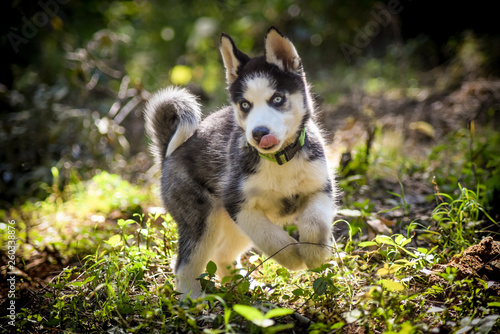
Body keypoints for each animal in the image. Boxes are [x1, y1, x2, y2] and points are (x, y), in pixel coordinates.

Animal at [146, 26, 338, 298]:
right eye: (245, 105)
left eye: (277, 99)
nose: (259, 133)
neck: (280, 161)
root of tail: (167, 154)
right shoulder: (237, 203)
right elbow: (270, 238)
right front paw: (292, 256)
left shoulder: (320, 189)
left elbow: (315, 223)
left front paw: (315, 254)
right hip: (203, 220)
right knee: (185, 264)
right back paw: (192, 299)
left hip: (232, 227)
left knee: (221, 254)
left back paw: (244, 285)